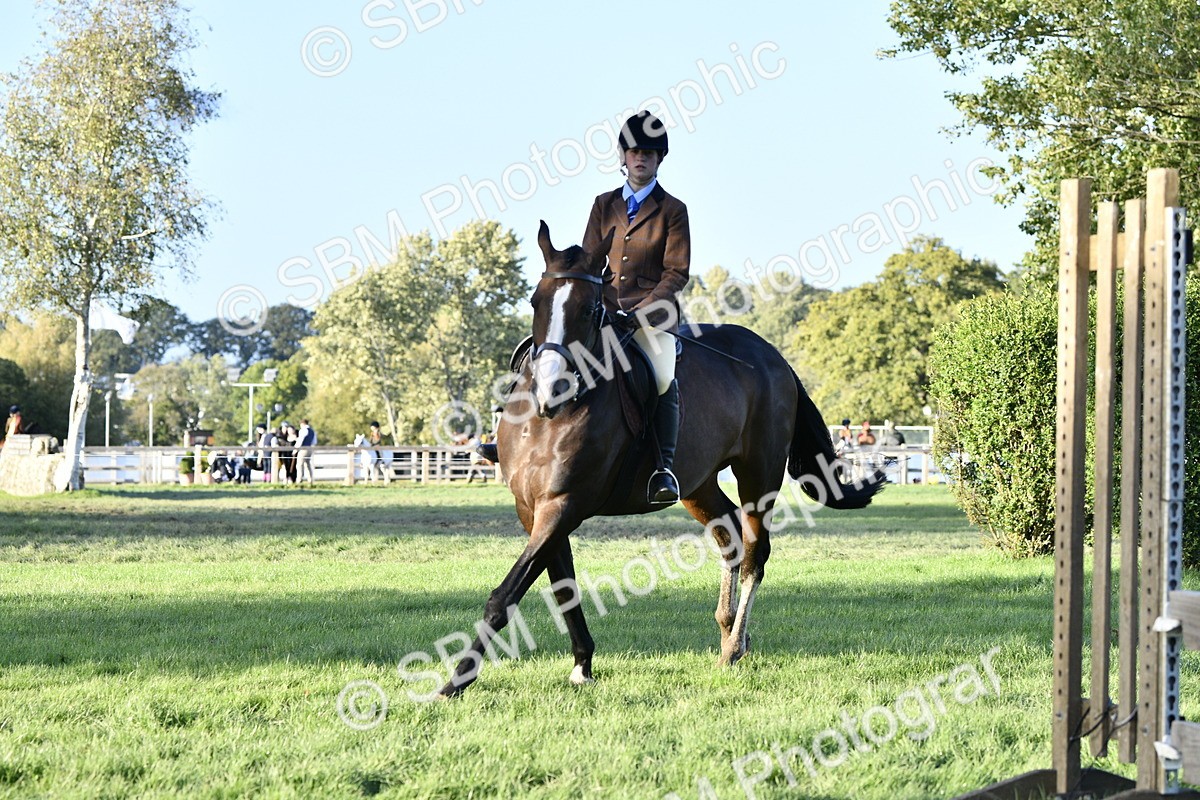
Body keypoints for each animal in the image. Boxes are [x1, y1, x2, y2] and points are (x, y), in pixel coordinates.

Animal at [437, 221, 885, 697]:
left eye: (590, 308)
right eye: (535, 301)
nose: (550, 389)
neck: (548, 418)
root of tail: (773, 355)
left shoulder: (564, 504)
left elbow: (506, 596)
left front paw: (456, 680)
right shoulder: (532, 508)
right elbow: (562, 586)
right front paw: (582, 665)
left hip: (759, 473)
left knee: (754, 550)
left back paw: (733, 646)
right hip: (697, 483)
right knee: (729, 535)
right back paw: (729, 630)